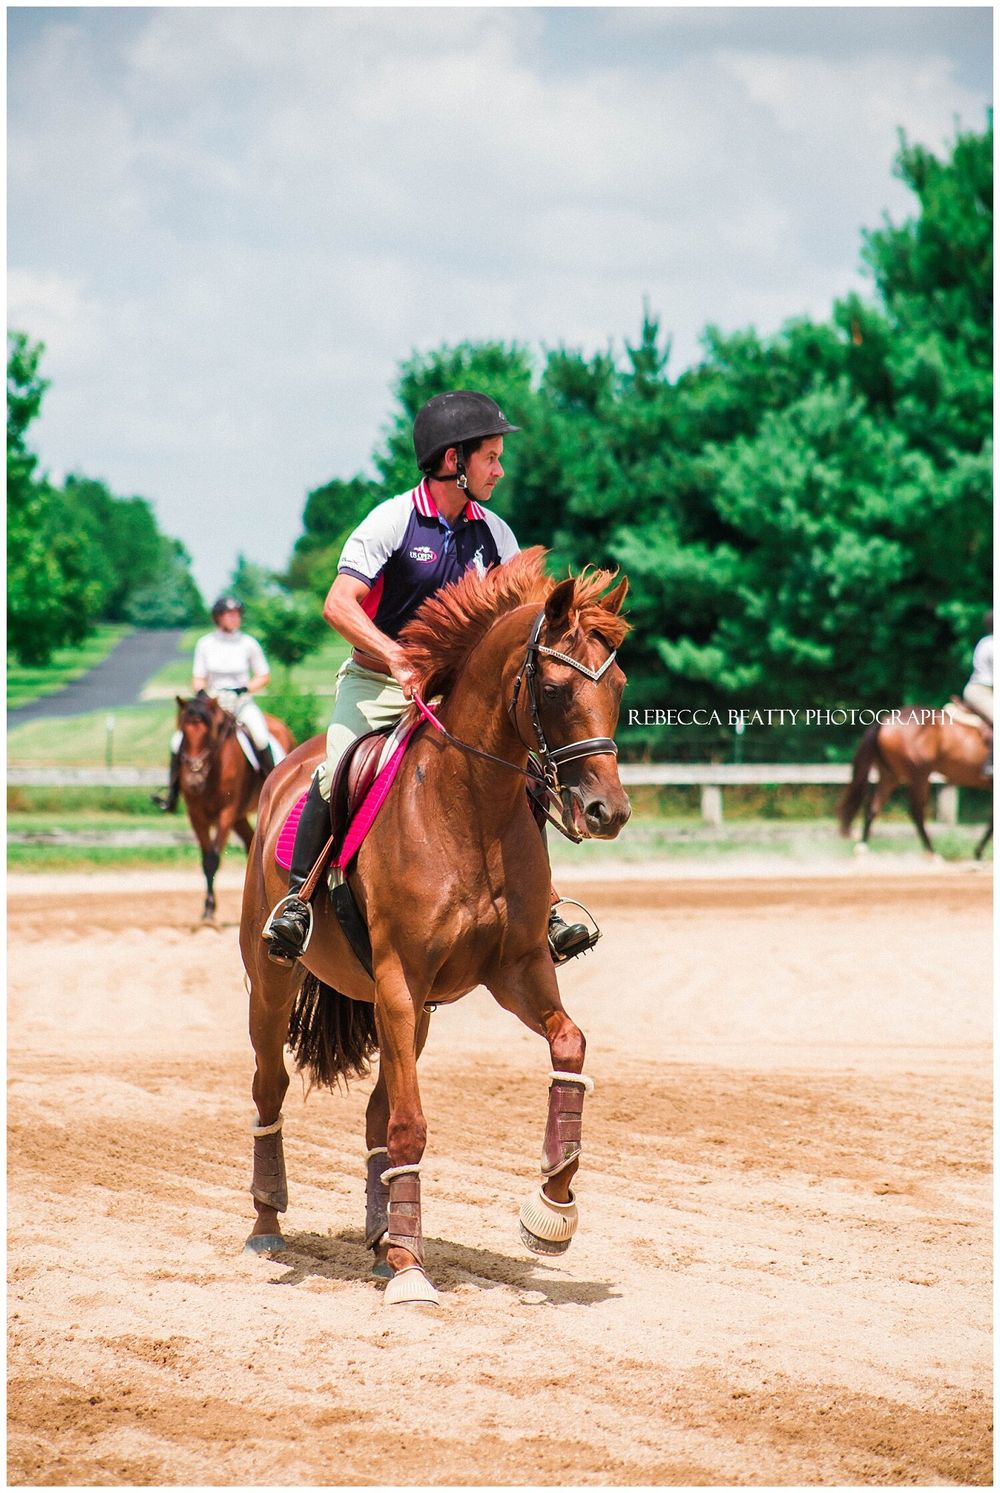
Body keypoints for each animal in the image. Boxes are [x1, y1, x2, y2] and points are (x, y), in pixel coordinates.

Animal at [176, 691, 296, 923]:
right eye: (183, 730)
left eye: (208, 732)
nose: (194, 780)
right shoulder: (196, 815)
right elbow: (206, 860)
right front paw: (208, 909)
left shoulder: (227, 813)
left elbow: (213, 859)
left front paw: (210, 909)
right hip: (240, 818)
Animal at [238, 549, 631, 1307]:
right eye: (556, 689)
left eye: (620, 687)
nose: (608, 812)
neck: (471, 807)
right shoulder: (399, 980)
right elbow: (411, 1125)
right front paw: (411, 1273)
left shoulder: (515, 972)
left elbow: (569, 1047)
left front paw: (551, 1208)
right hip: (276, 982)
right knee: (271, 1088)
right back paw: (269, 1225)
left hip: (413, 1013)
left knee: (374, 1113)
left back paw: (378, 1234)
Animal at [838, 706, 993, 859]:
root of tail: (884, 721)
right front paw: (978, 851)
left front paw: (978, 851)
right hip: (919, 776)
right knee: (916, 812)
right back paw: (931, 852)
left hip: (890, 775)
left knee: (873, 806)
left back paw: (862, 847)